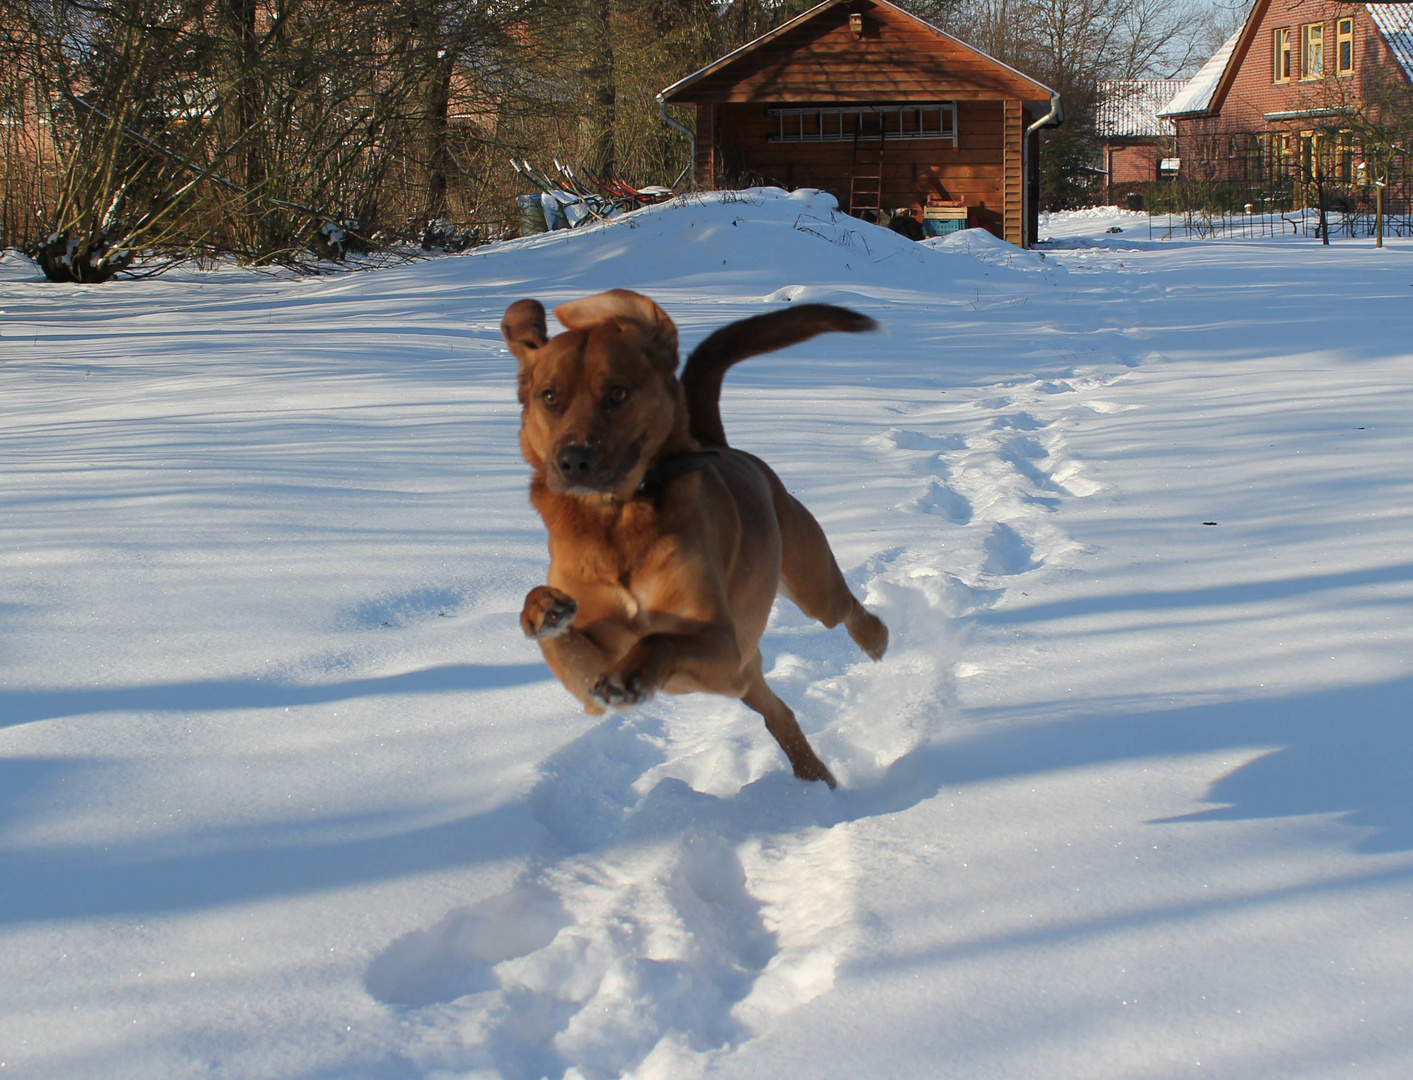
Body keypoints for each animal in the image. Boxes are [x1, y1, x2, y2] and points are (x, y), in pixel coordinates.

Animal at [503, 291, 887, 791]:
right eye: (549, 397)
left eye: (618, 392)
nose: (572, 461)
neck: (616, 523)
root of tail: (718, 444)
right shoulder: (590, 682)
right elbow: (561, 642)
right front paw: (543, 610)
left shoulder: (720, 641)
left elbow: (660, 640)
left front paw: (632, 675)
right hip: (742, 677)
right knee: (779, 714)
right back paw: (815, 777)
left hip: (803, 592)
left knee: (844, 609)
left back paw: (875, 640)